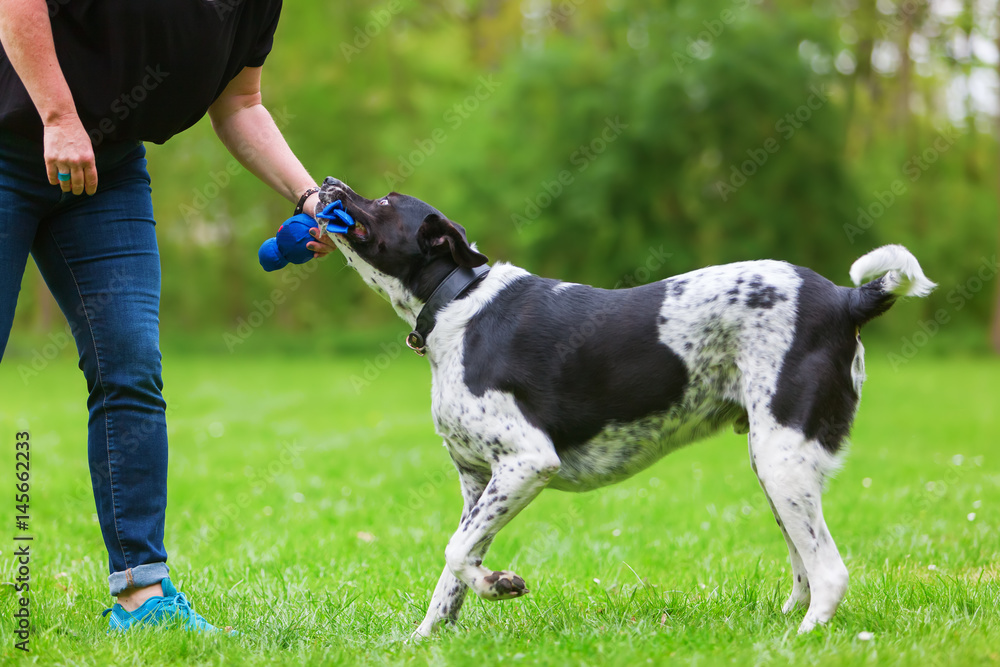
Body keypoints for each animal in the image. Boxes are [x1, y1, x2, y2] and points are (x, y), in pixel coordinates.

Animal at [316, 176, 932, 636]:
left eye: (385, 202)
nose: (327, 184)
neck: (456, 303)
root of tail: (847, 298)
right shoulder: (479, 481)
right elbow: (455, 565)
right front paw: (427, 637)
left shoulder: (527, 462)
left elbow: (454, 551)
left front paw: (499, 585)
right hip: (777, 465)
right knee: (804, 566)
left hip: (782, 458)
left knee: (829, 571)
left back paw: (800, 639)